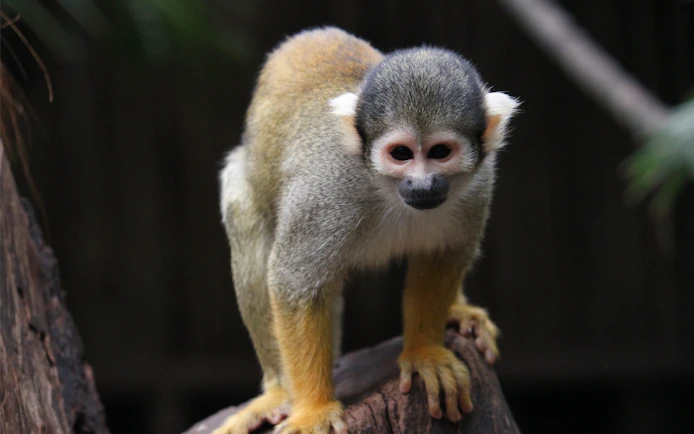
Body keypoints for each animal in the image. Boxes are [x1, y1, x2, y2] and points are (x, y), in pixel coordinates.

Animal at [215, 27, 518, 434]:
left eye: (440, 152)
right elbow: (294, 283)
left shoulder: (479, 184)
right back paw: (278, 393)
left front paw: (424, 353)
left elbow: (441, 258)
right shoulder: (327, 189)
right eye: (401, 154)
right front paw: (313, 409)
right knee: (246, 219)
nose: (422, 185)